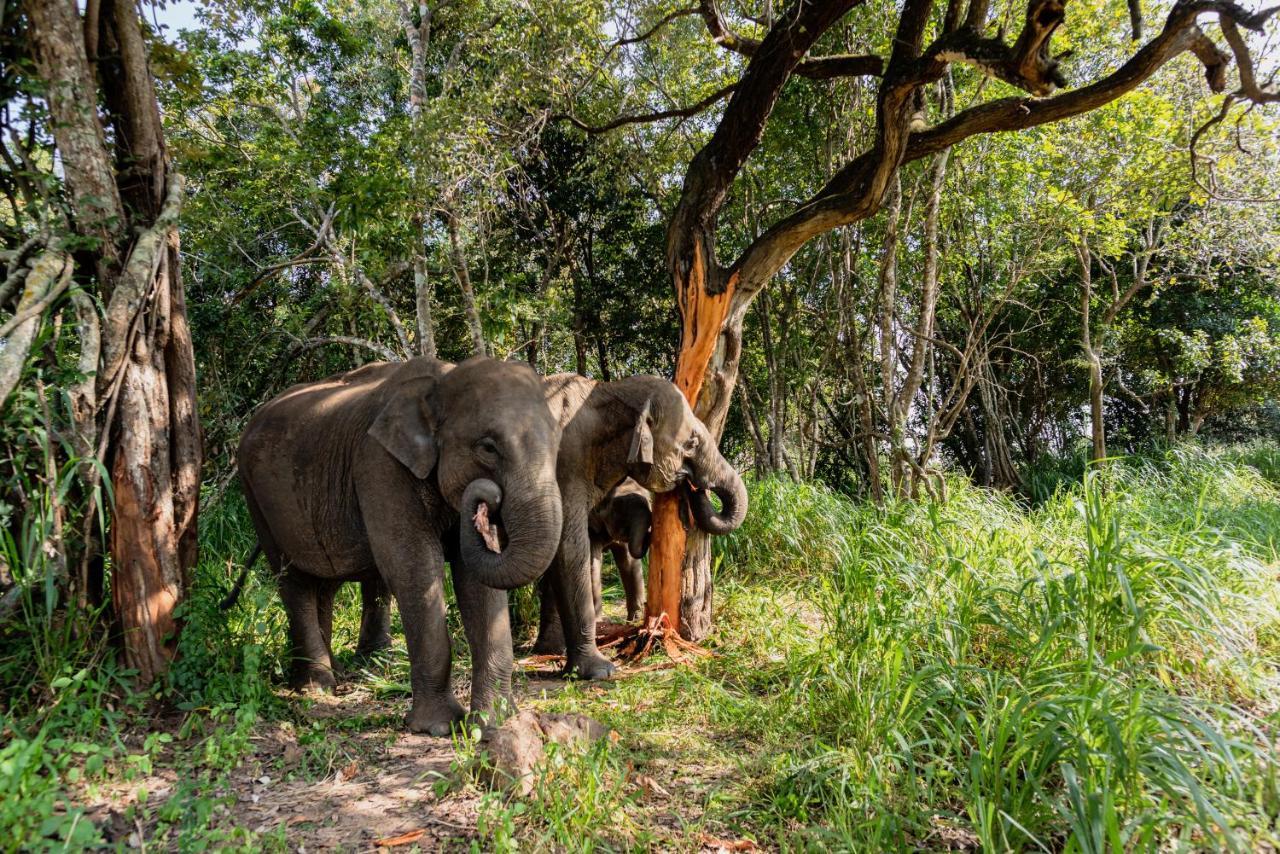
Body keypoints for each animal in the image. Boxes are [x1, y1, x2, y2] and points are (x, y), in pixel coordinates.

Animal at [238, 353, 563, 737]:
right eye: (487, 447)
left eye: (558, 442)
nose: (487, 499)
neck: (442, 380)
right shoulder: (379, 466)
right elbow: (414, 568)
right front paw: (437, 727)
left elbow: (477, 584)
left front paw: (492, 724)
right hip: (257, 500)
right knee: (294, 581)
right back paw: (317, 687)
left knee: (325, 584)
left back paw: (332, 673)